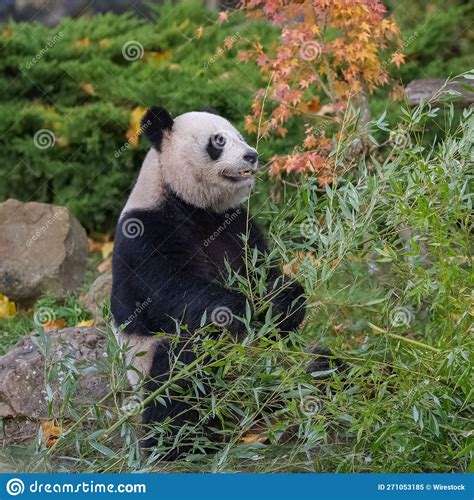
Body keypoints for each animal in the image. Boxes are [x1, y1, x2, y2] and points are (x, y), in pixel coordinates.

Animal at [110, 105, 336, 458]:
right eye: (218, 141)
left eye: (240, 137)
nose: (251, 155)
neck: (192, 203)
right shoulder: (145, 232)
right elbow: (170, 294)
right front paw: (250, 309)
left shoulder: (237, 226)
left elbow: (263, 272)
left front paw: (284, 301)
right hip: (151, 366)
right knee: (180, 375)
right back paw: (180, 441)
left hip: (285, 365)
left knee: (322, 365)